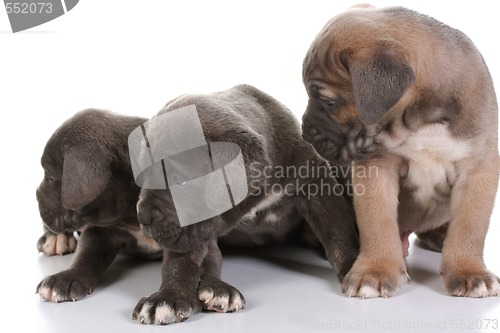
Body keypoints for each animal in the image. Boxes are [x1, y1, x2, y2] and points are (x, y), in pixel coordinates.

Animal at [37, 108, 162, 300]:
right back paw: (55, 238)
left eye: (50, 176)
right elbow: (86, 254)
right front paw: (64, 279)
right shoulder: (100, 230)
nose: (36, 194)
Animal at [132, 83, 360, 324]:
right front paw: (169, 296)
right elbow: (182, 257)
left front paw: (354, 268)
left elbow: (338, 232)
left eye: (180, 182)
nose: (142, 217)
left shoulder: (317, 183)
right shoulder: (191, 229)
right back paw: (217, 289)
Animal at [300, 4, 500, 296]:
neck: (420, 119)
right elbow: (377, 222)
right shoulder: (376, 167)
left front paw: (468, 271)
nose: (305, 133)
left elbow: (469, 226)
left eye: (329, 102)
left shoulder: (476, 170)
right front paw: (375, 270)